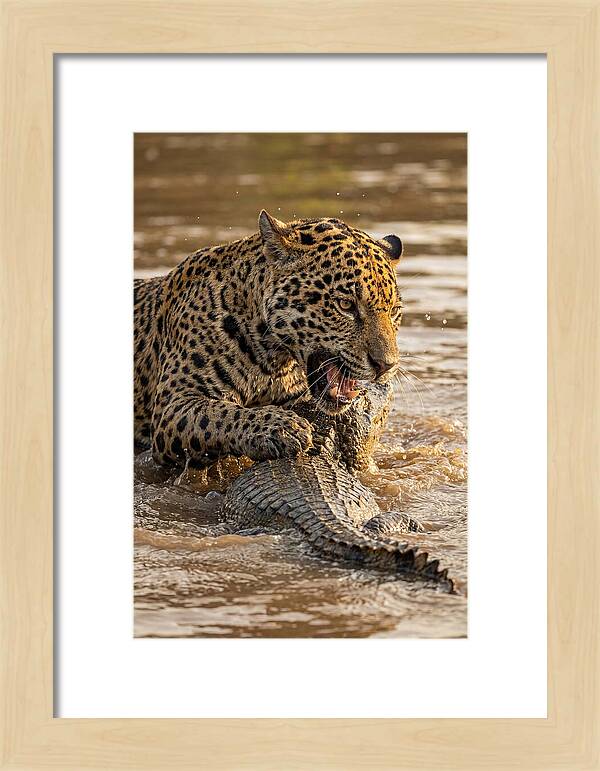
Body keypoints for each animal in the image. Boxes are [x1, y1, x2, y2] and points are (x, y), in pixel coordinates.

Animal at [134, 210, 404, 467]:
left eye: (394, 311)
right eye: (346, 305)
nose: (386, 366)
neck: (274, 361)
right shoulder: (174, 404)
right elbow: (220, 413)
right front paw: (282, 428)